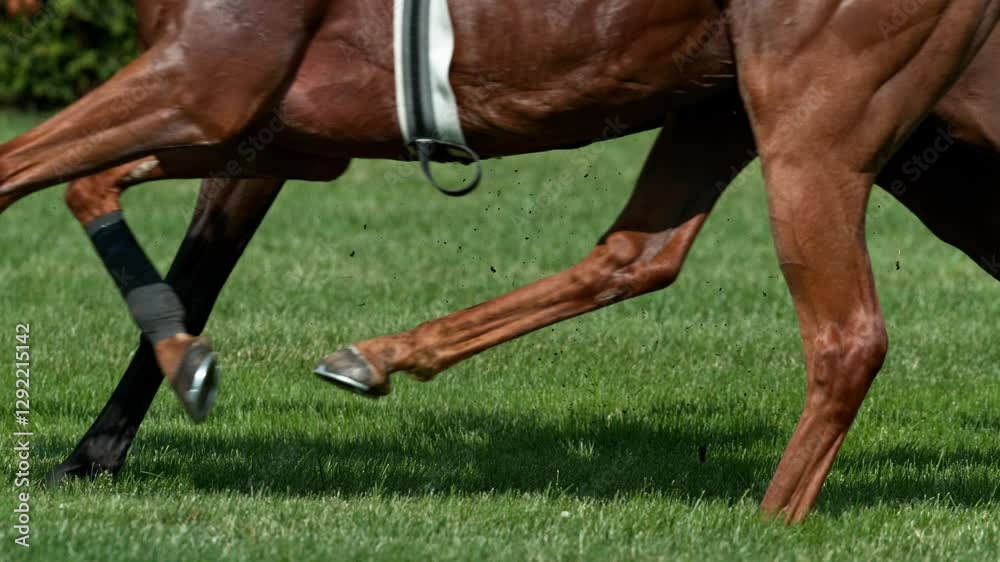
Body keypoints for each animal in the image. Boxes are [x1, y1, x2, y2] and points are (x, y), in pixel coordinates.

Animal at [1, 0, 999, 523]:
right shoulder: (274, 131)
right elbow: (122, 214)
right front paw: (107, 441)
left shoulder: (212, 83)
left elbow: (24, 174)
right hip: (744, 107)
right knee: (639, 252)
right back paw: (381, 355)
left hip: (813, 119)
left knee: (847, 338)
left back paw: (768, 523)